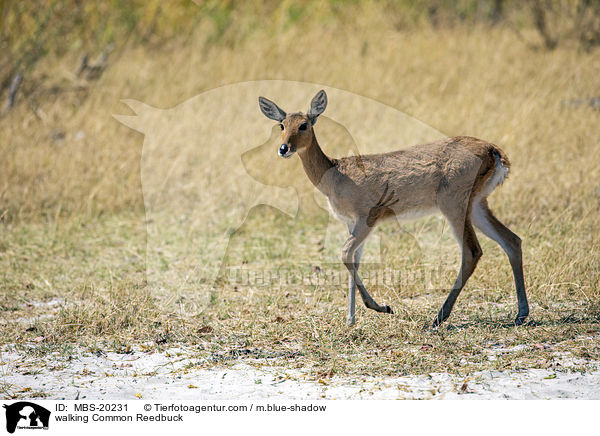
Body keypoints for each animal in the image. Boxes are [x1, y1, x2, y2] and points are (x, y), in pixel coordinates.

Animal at [258, 89, 528, 328]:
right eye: (282, 125)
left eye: (304, 124)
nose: (284, 149)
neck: (335, 174)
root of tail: (495, 152)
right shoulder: (351, 223)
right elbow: (355, 260)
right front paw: (351, 320)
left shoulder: (366, 219)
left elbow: (345, 254)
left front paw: (382, 307)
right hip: (477, 204)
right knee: (512, 240)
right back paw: (520, 314)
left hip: (454, 205)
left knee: (472, 252)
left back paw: (437, 318)